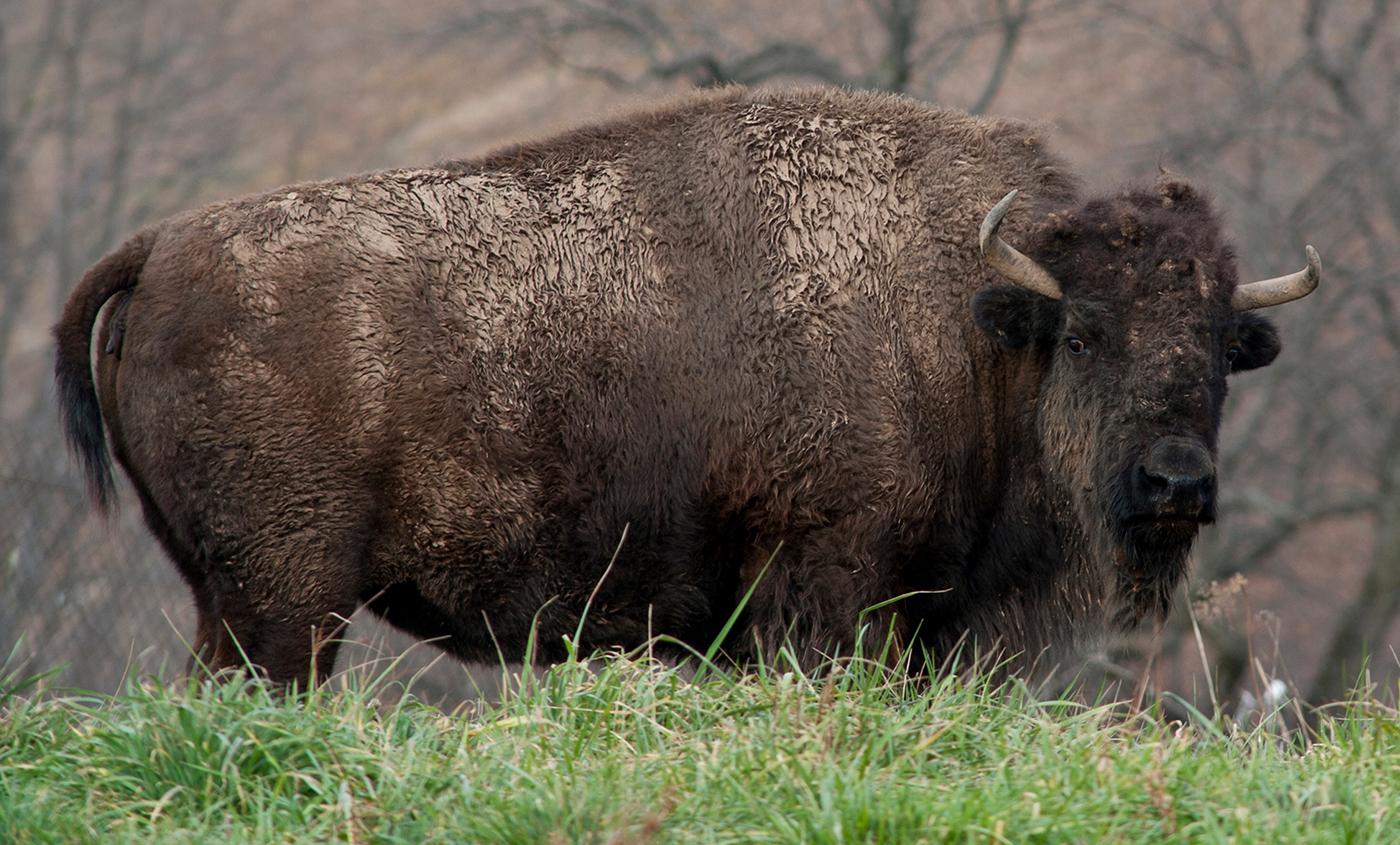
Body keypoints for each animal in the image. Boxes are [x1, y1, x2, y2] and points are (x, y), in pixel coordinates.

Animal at [57, 85, 1321, 682]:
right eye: (1086, 332)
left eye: (1219, 346)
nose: (1175, 481)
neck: (967, 326)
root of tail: (162, 246)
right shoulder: (826, 585)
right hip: (288, 603)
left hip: (232, 596)